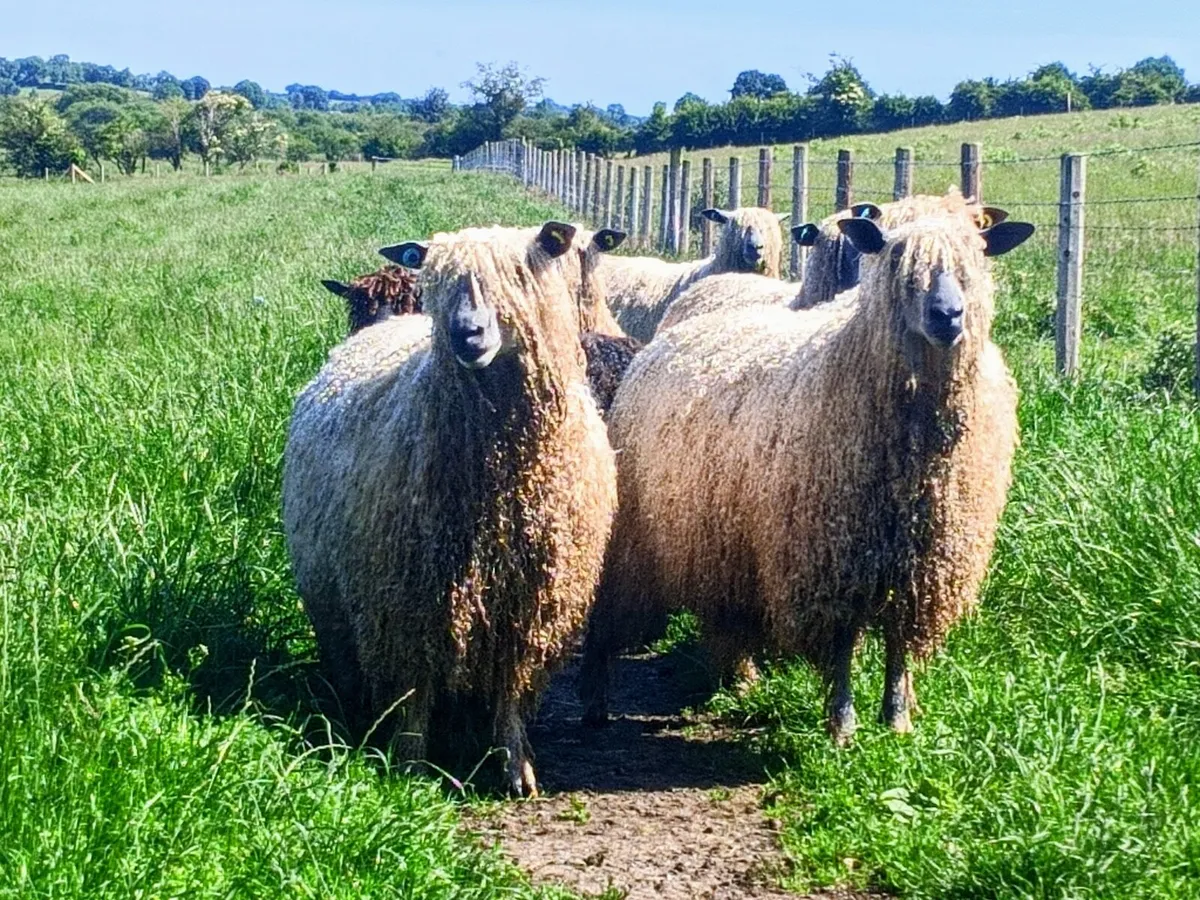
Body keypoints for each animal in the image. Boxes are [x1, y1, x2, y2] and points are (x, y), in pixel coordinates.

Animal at [283, 221, 618, 796]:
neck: (502, 476)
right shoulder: (407, 597)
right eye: (441, 279)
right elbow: (414, 688)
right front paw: (410, 764)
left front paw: (515, 765)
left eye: (519, 273)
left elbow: (510, 690)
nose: (467, 334)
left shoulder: (529, 602)